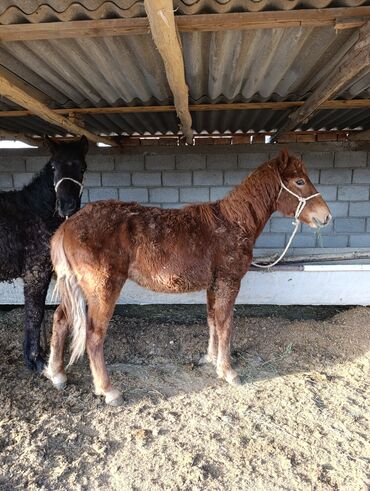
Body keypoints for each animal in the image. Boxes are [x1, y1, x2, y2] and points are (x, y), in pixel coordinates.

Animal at [0, 136, 88, 370]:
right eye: (54, 167)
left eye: (82, 167)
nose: (67, 206)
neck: (36, 211)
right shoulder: (35, 272)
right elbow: (35, 312)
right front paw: (35, 360)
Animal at [44, 150, 330, 404]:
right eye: (299, 181)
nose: (325, 216)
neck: (233, 224)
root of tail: (67, 225)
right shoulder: (229, 282)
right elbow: (226, 324)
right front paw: (228, 371)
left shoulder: (214, 285)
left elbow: (213, 320)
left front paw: (211, 359)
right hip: (102, 288)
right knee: (93, 335)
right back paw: (108, 390)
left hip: (78, 288)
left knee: (60, 319)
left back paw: (57, 374)